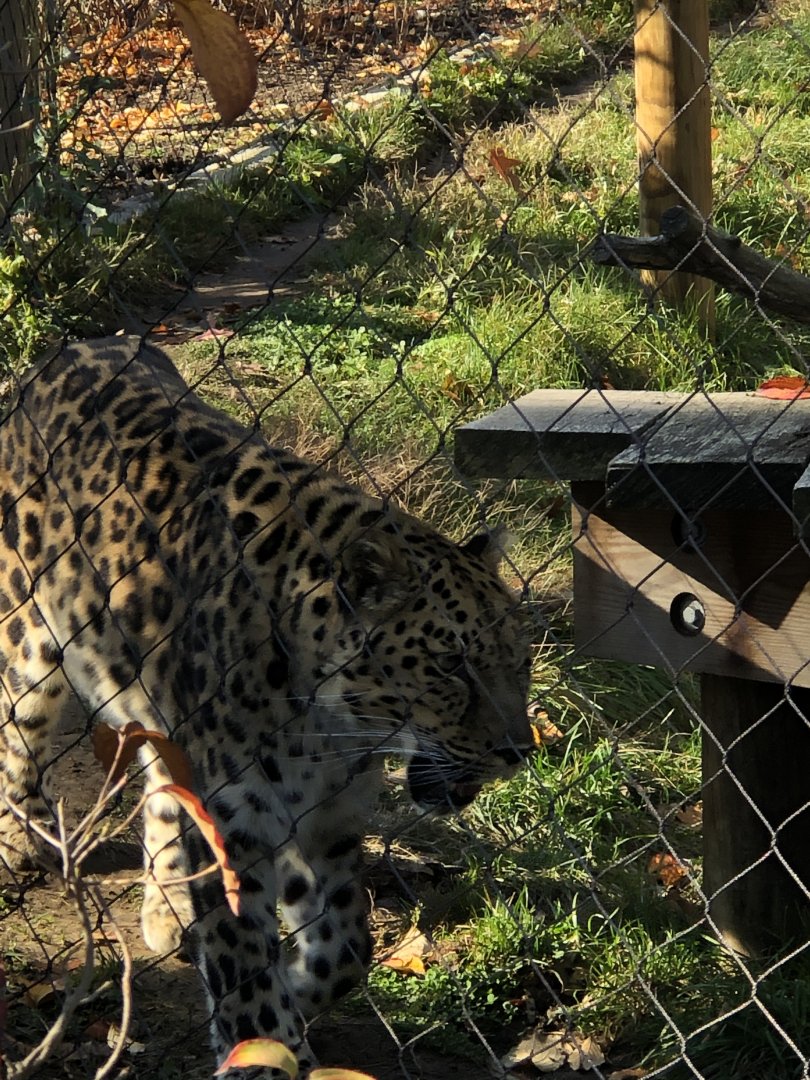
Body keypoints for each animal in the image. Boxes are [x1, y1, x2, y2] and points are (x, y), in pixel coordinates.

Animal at [0, 335, 534, 1076]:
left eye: (523, 660)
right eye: (450, 664)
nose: (519, 752)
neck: (334, 729)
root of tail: (71, 348)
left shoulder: (331, 819)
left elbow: (348, 946)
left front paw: (299, 999)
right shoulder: (238, 820)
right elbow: (245, 962)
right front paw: (262, 1040)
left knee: (160, 780)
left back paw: (167, 907)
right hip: (30, 633)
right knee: (16, 732)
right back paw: (20, 839)